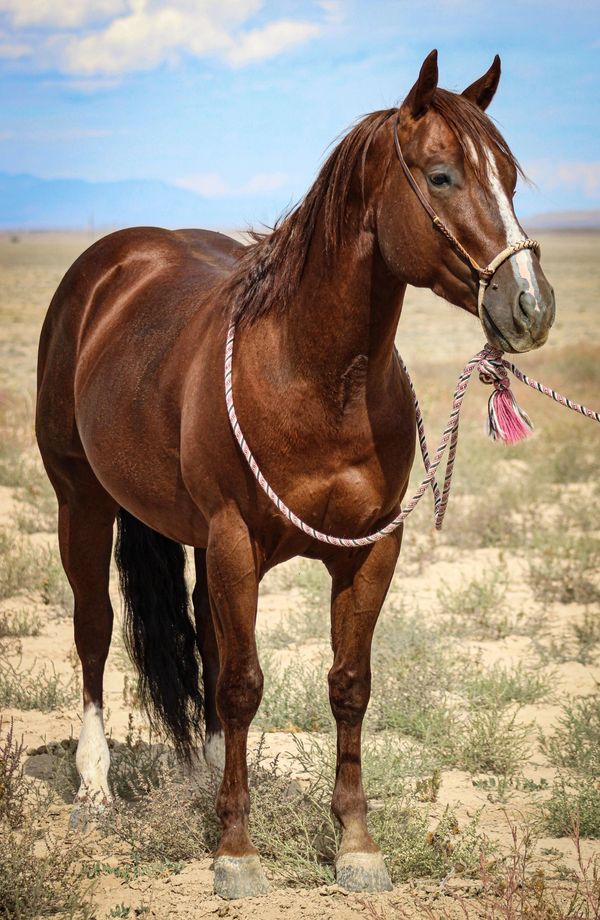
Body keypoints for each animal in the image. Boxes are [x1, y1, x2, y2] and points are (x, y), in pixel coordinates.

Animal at [36, 49, 555, 898]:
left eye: (509, 178)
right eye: (442, 176)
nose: (531, 308)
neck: (316, 376)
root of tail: (114, 262)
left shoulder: (369, 550)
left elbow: (346, 684)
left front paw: (355, 844)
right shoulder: (235, 540)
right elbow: (245, 683)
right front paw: (236, 852)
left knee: (207, 646)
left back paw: (212, 770)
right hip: (82, 502)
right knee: (95, 631)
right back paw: (95, 787)